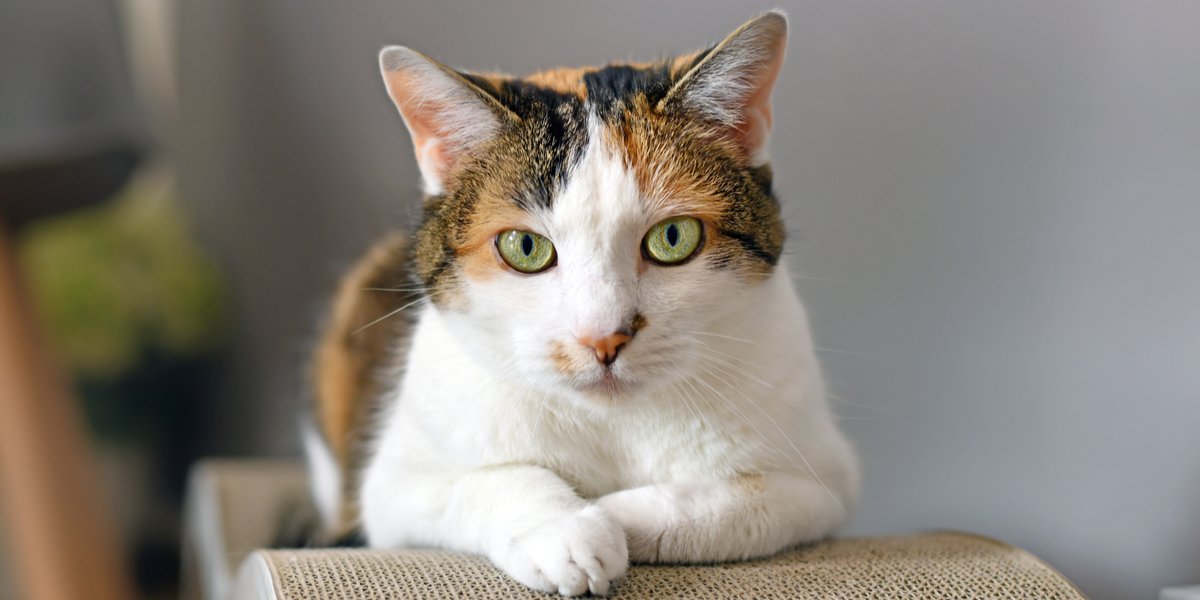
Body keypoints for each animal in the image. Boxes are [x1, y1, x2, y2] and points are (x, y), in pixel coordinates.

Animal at [304, 9, 859, 595]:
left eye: (673, 238)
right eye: (525, 248)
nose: (604, 337)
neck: (611, 425)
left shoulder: (824, 482)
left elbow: (731, 499)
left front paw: (613, 516)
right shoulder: (394, 488)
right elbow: (496, 479)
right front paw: (566, 530)